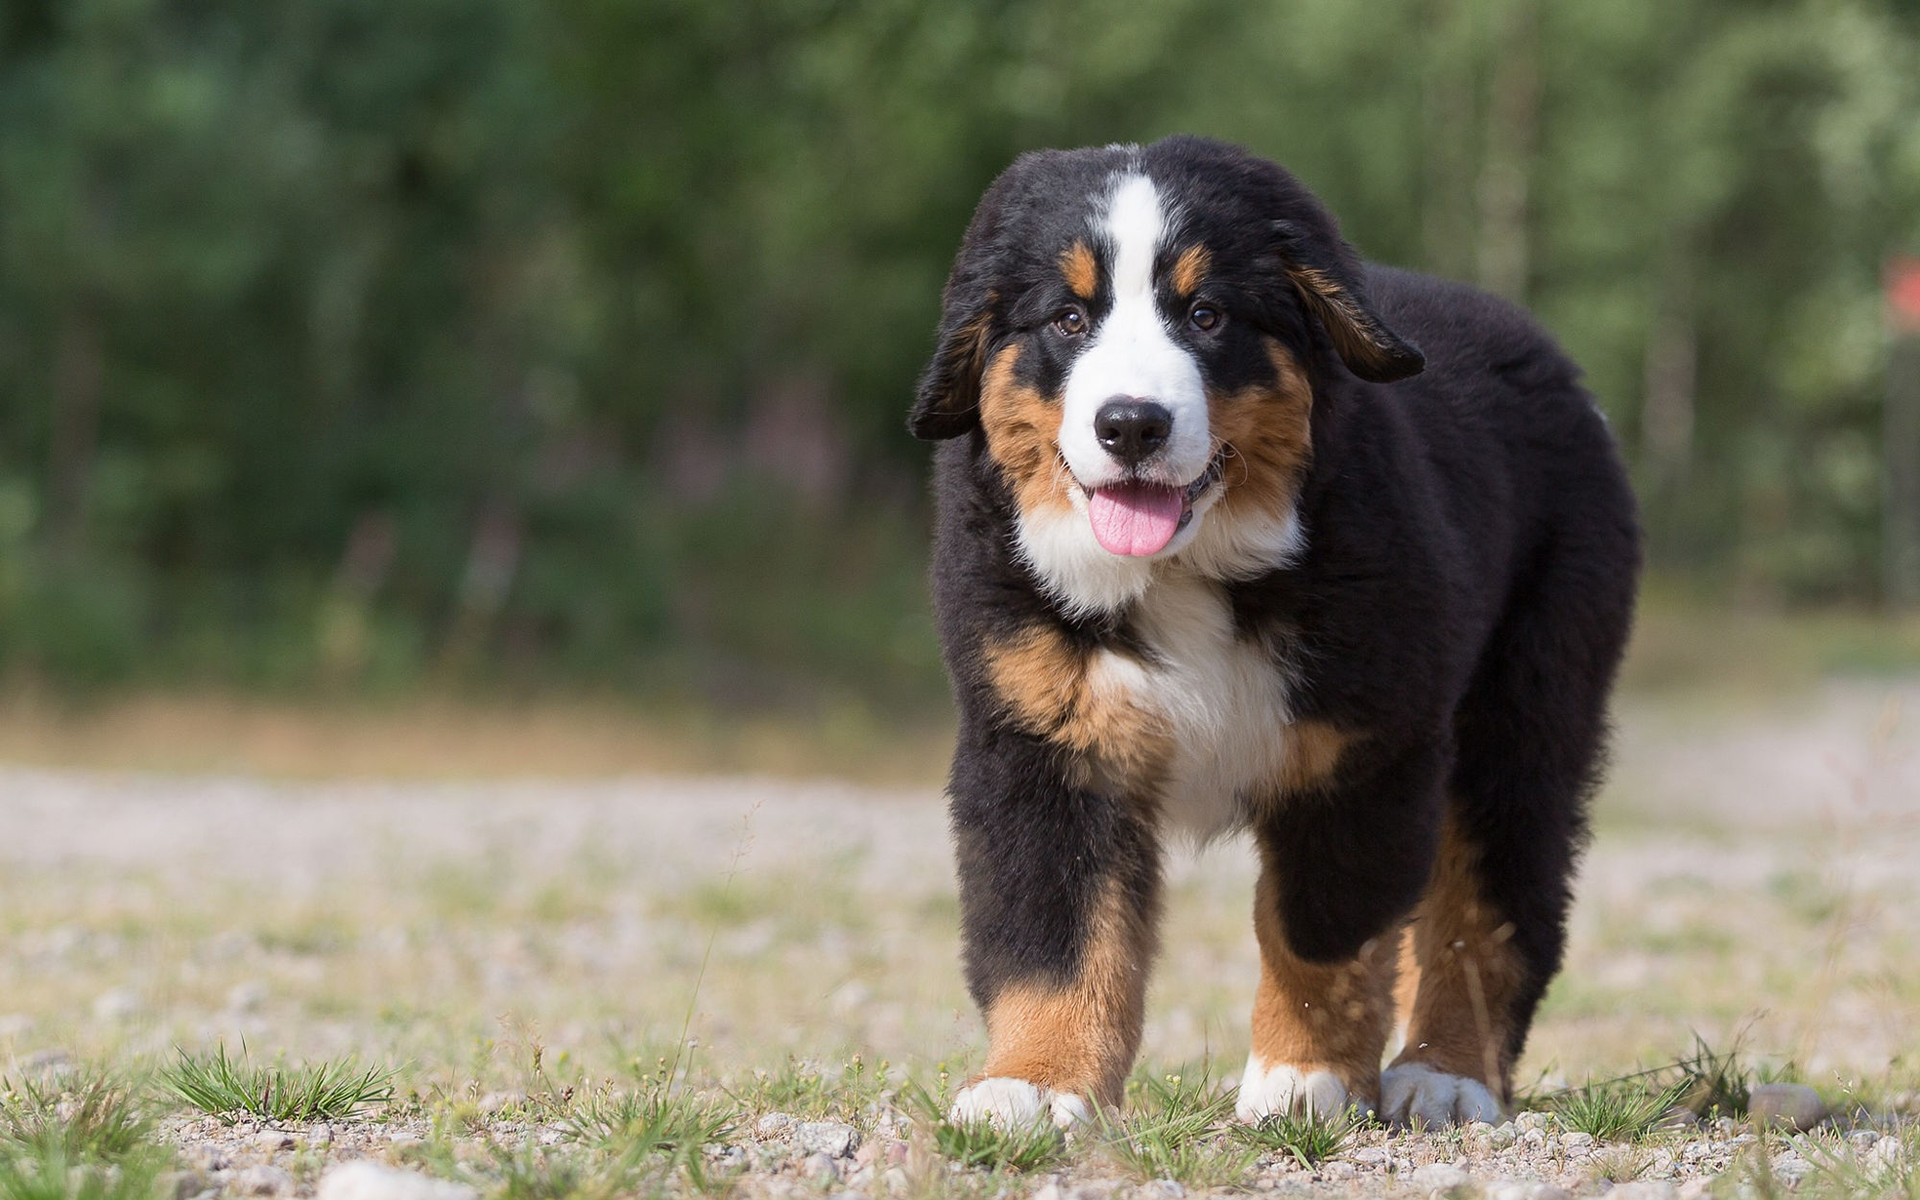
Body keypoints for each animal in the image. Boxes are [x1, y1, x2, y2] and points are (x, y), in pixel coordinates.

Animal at [910, 135, 1635, 1128]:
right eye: (1067, 318)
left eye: (1207, 315)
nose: (1131, 424)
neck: (1185, 573)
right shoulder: (1041, 744)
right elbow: (1056, 932)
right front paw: (1035, 1082)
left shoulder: (1361, 750)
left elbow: (1319, 929)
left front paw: (1304, 1077)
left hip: (1526, 709)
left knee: (1491, 906)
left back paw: (1448, 1074)